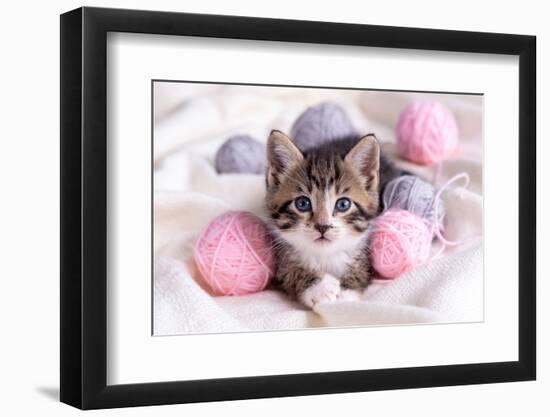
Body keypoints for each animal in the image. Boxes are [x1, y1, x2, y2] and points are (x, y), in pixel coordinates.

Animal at [266, 128, 402, 308]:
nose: (322, 226)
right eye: (302, 203)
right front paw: (320, 288)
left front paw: (345, 294)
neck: (326, 255)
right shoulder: (282, 257)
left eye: (343, 204)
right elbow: (289, 271)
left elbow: (362, 269)